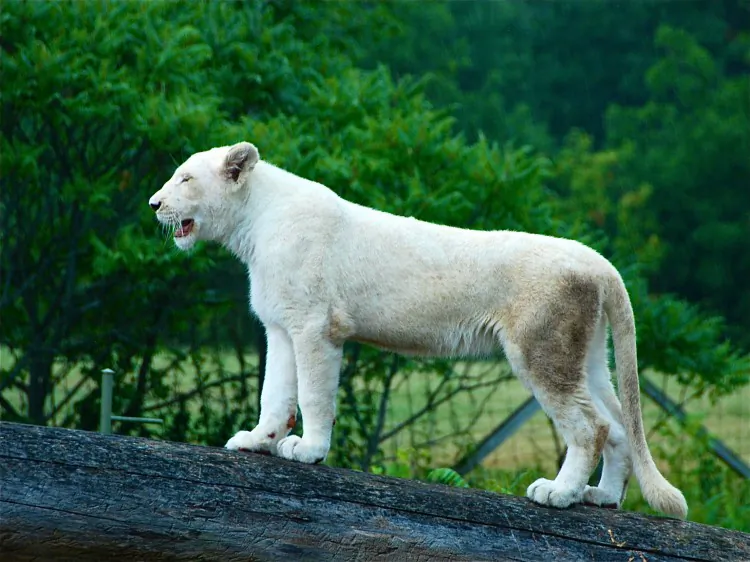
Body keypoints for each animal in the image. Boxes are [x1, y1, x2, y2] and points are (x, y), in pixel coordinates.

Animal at [149, 141, 688, 518]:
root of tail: (601, 265)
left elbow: (314, 396)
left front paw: (309, 451)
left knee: (591, 426)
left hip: (542, 351)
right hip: (586, 356)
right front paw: (258, 440)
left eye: (185, 178)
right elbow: (274, 394)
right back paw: (601, 498)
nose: (154, 204)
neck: (252, 227)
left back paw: (558, 493)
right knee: (618, 425)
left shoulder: (315, 326)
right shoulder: (281, 327)